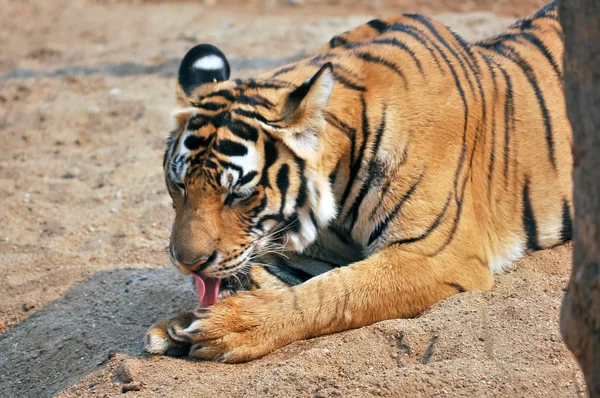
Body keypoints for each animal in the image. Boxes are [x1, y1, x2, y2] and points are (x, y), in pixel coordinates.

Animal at [142, 1, 572, 364]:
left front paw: (230, 326)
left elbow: (337, 290)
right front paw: (180, 323)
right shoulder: (308, 254)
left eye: (238, 194)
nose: (187, 263)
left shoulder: (434, 254)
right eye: (178, 186)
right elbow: (272, 278)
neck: (337, 179)